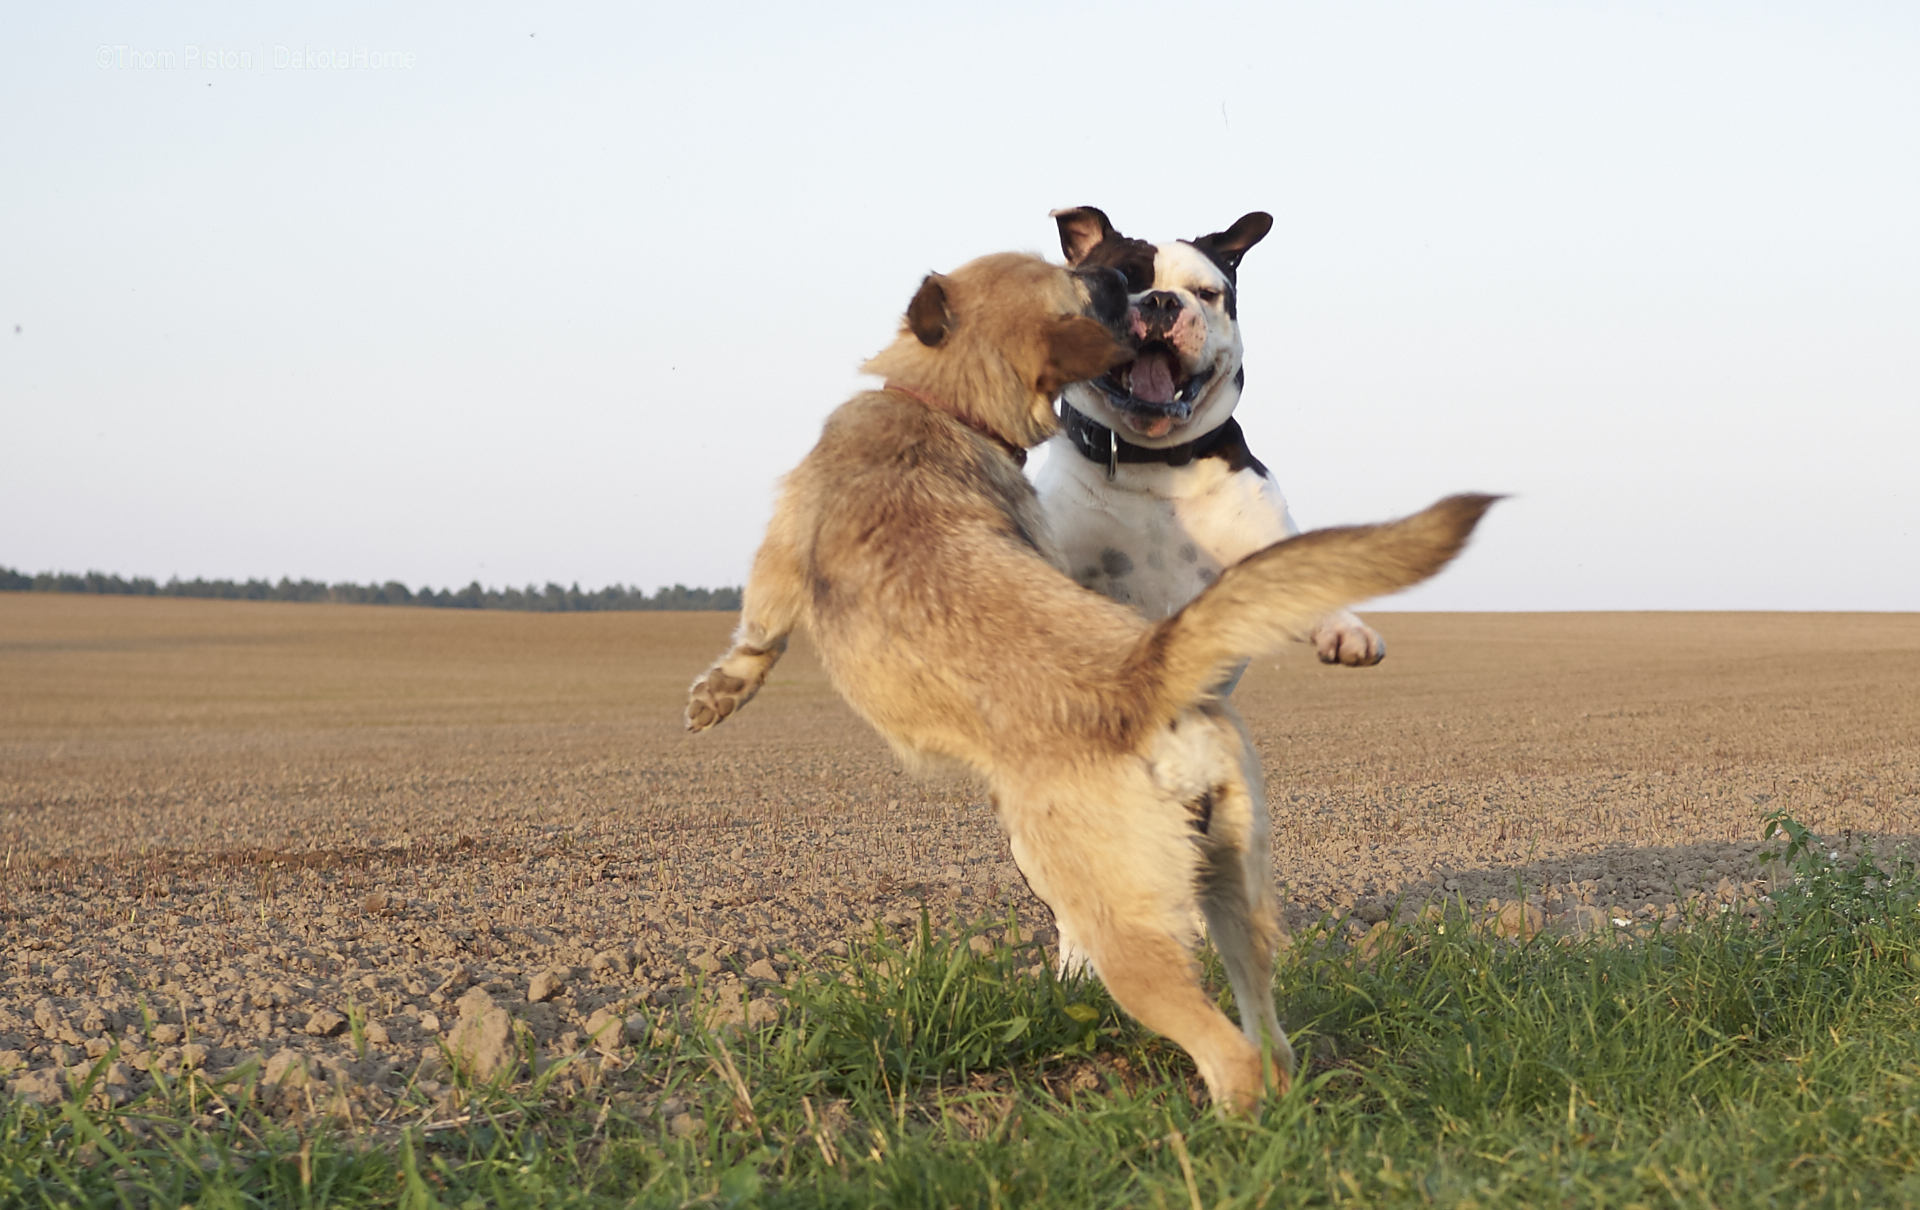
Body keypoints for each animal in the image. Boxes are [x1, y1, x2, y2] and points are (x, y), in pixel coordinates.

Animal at [683, 251, 1489, 1113]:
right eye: (1079, 283)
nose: (1125, 277)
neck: (949, 406)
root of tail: (1145, 672)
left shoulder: (778, 555)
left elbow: (756, 635)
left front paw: (718, 694)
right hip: (1235, 891)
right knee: (1269, 1034)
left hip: (1117, 927)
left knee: (1228, 1051)